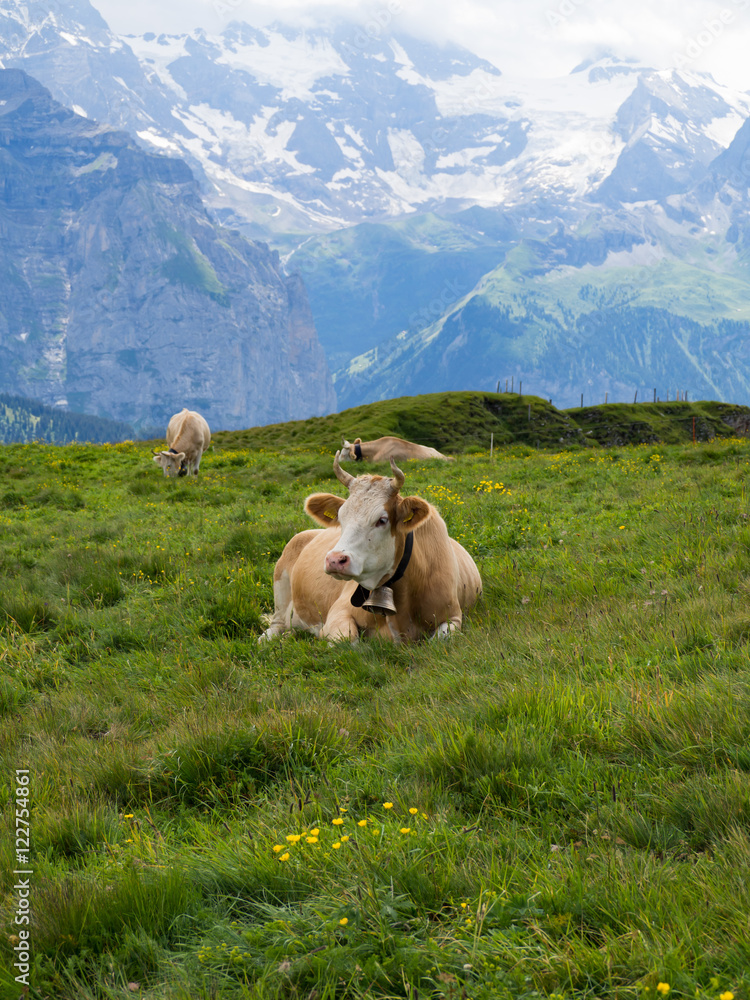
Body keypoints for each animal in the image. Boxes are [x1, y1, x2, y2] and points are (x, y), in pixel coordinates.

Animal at [259, 453, 481, 643]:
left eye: (382, 520)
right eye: (341, 517)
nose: (334, 560)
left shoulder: (454, 616)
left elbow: (441, 638)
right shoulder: (338, 612)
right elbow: (347, 640)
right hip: (280, 582)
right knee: (277, 623)